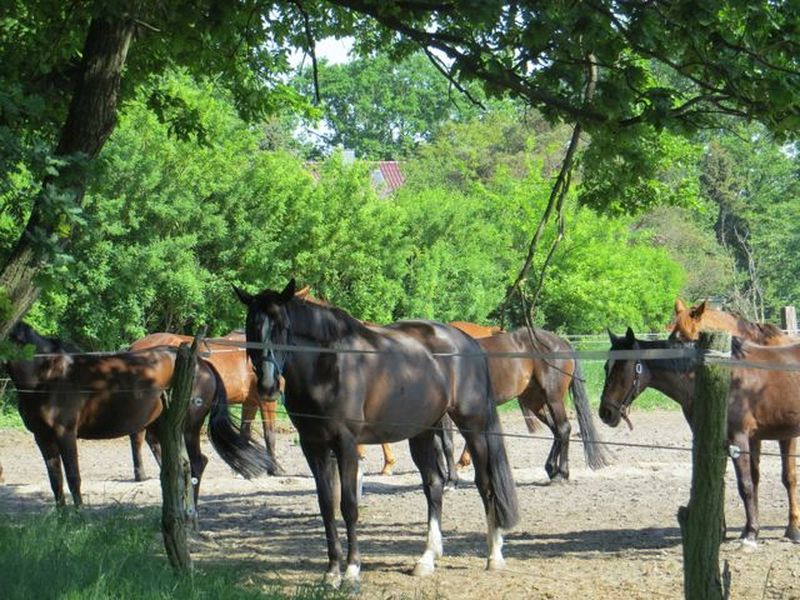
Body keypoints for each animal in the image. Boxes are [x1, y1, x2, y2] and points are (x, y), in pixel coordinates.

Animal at [129, 330, 282, 476]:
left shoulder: (250, 402)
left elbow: (245, 434)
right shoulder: (267, 401)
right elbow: (270, 435)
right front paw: (275, 469)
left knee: (151, 439)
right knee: (138, 438)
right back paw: (142, 474)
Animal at [234, 282, 520, 584]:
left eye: (283, 326)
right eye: (252, 326)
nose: (267, 386)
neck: (329, 365)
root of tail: (469, 343)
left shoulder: (346, 444)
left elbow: (348, 506)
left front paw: (351, 570)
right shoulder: (314, 447)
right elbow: (326, 506)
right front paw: (332, 571)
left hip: (473, 426)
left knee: (485, 483)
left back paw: (494, 554)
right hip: (423, 432)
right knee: (434, 485)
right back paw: (427, 558)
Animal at [450, 322, 608, 480]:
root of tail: (563, 343)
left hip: (554, 400)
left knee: (563, 429)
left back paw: (562, 473)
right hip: (535, 402)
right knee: (556, 429)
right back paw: (551, 468)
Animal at [600, 330, 800, 548]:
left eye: (623, 367)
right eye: (606, 366)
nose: (606, 412)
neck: (723, 380)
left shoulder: (739, 438)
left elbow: (746, 485)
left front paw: (751, 533)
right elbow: (737, 482)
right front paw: (726, 531)